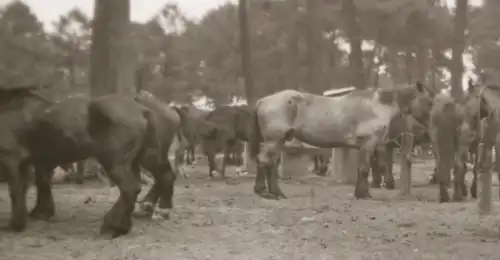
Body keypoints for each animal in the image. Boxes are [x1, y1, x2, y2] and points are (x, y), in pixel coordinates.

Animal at [249, 82, 434, 200]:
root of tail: (263, 101)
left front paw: (360, 192)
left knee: (270, 164)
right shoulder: (369, 144)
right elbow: (365, 168)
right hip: (273, 140)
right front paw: (364, 194)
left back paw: (276, 193)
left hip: (278, 141)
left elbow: (363, 168)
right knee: (264, 161)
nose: (430, 129)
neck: (377, 105)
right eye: (429, 102)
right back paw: (264, 192)